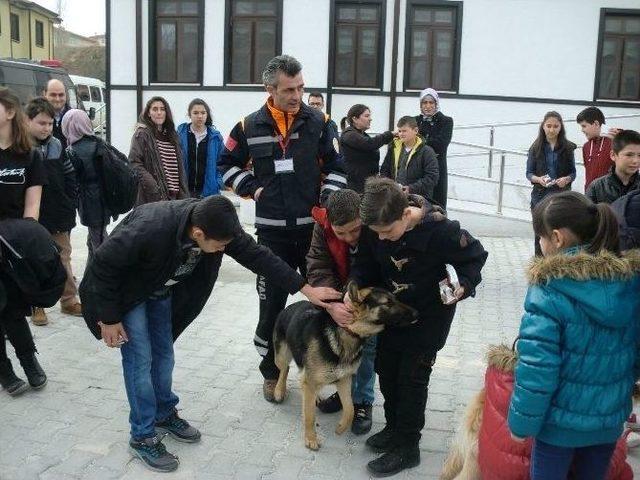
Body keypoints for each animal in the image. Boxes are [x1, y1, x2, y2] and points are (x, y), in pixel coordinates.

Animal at [272, 282, 418, 450]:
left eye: (395, 298)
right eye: (387, 303)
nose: (417, 313)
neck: (348, 333)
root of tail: (290, 306)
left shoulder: (344, 380)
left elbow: (350, 409)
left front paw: (341, 427)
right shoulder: (310, 381)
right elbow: (309, 415)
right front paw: (311, 439)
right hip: (282, 356)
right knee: (284, 369)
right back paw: (278, 391)